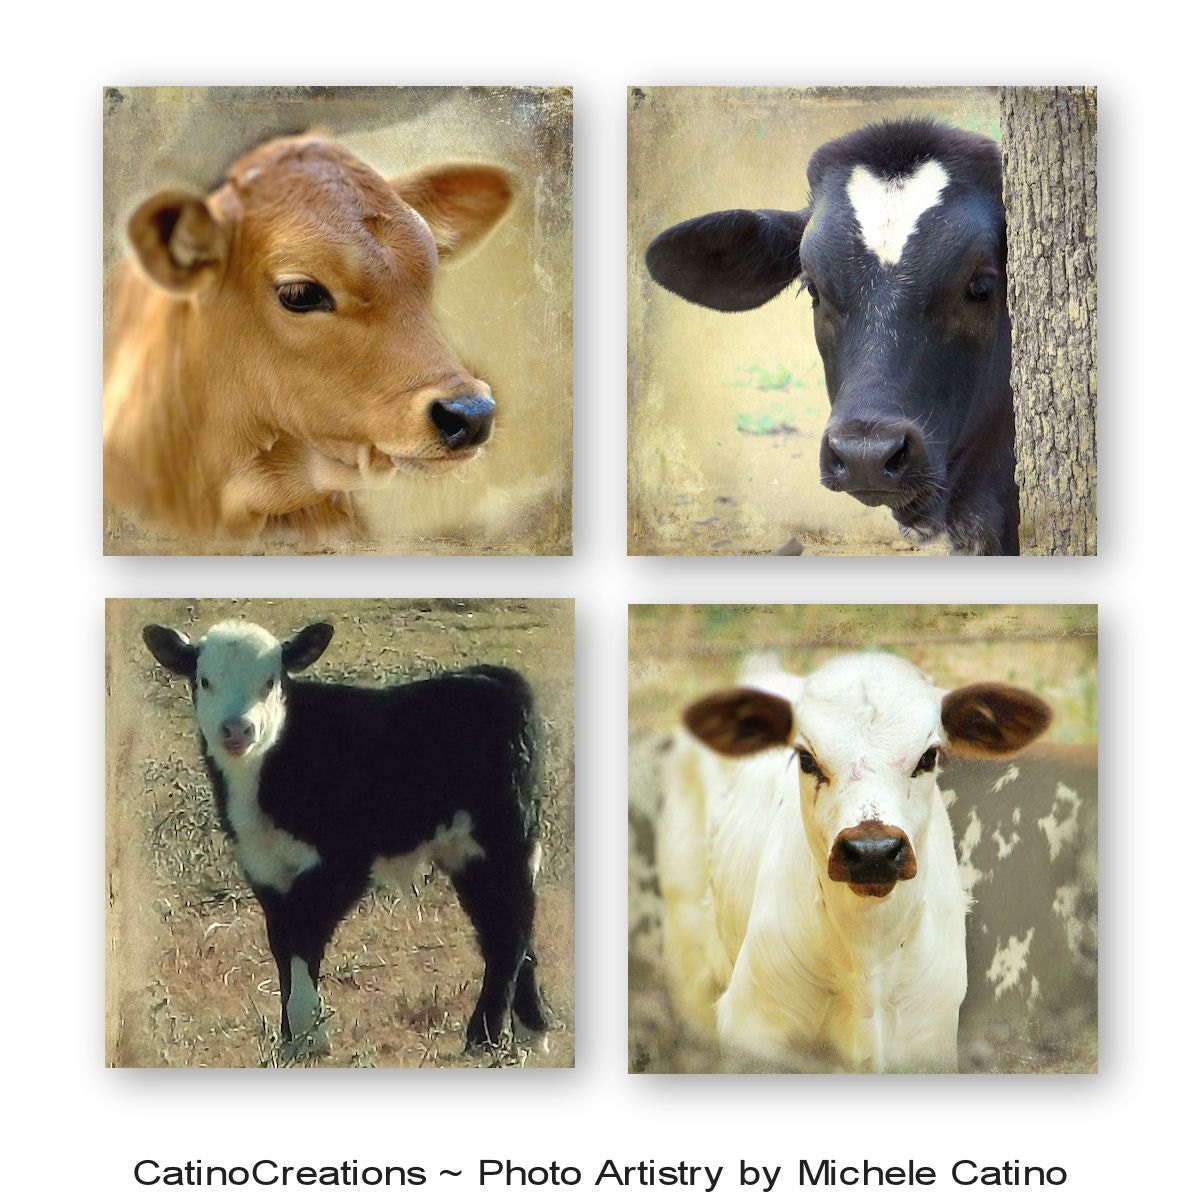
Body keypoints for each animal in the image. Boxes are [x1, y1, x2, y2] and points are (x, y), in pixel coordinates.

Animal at [143, 619, 550, 1060]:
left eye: (270, 681)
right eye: (204, 680)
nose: (237, 729)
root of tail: (494, 676)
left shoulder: (340, 862)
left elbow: (304, 936)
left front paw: (309, 1035)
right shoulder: (262, 865)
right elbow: (282, 942)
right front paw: (292, 1039)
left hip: (501, 837)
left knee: (508, 929)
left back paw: (484, 1037)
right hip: (468, 851)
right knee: (509, 923)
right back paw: (530, 1032)